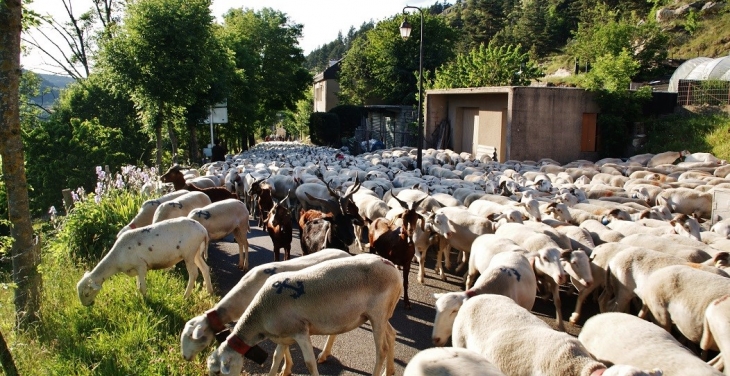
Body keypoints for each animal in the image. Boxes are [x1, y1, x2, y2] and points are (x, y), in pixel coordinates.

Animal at [77, 217, 213, 306]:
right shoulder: (136, 268)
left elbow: (141, 287)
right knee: (205, 268)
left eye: (87, 294)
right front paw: (142, 298)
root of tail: (203, 230)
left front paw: (147, 301)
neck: (116, 259)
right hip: (196, 252)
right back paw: (209, 292)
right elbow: (138, 285)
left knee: (193, 273)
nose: (87, 305)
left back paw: (185, 296)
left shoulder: (141, 265)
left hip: (189, 252)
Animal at [179, 250, 346, 374]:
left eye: (190, 336)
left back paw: (324, 354)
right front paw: (287, 368)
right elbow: (283, 347)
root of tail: (345, 252)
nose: (185, 357)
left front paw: (286, 368)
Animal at [203, 253, 398, 376]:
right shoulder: (284, 336)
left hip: (377, 313)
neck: (259, 316)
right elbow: (276, 359)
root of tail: (390, 264)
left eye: (218, 372)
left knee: (381, 350)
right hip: (379, 315)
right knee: (391, 335)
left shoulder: (301, 331)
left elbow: (309, 364)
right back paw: (389, 371)